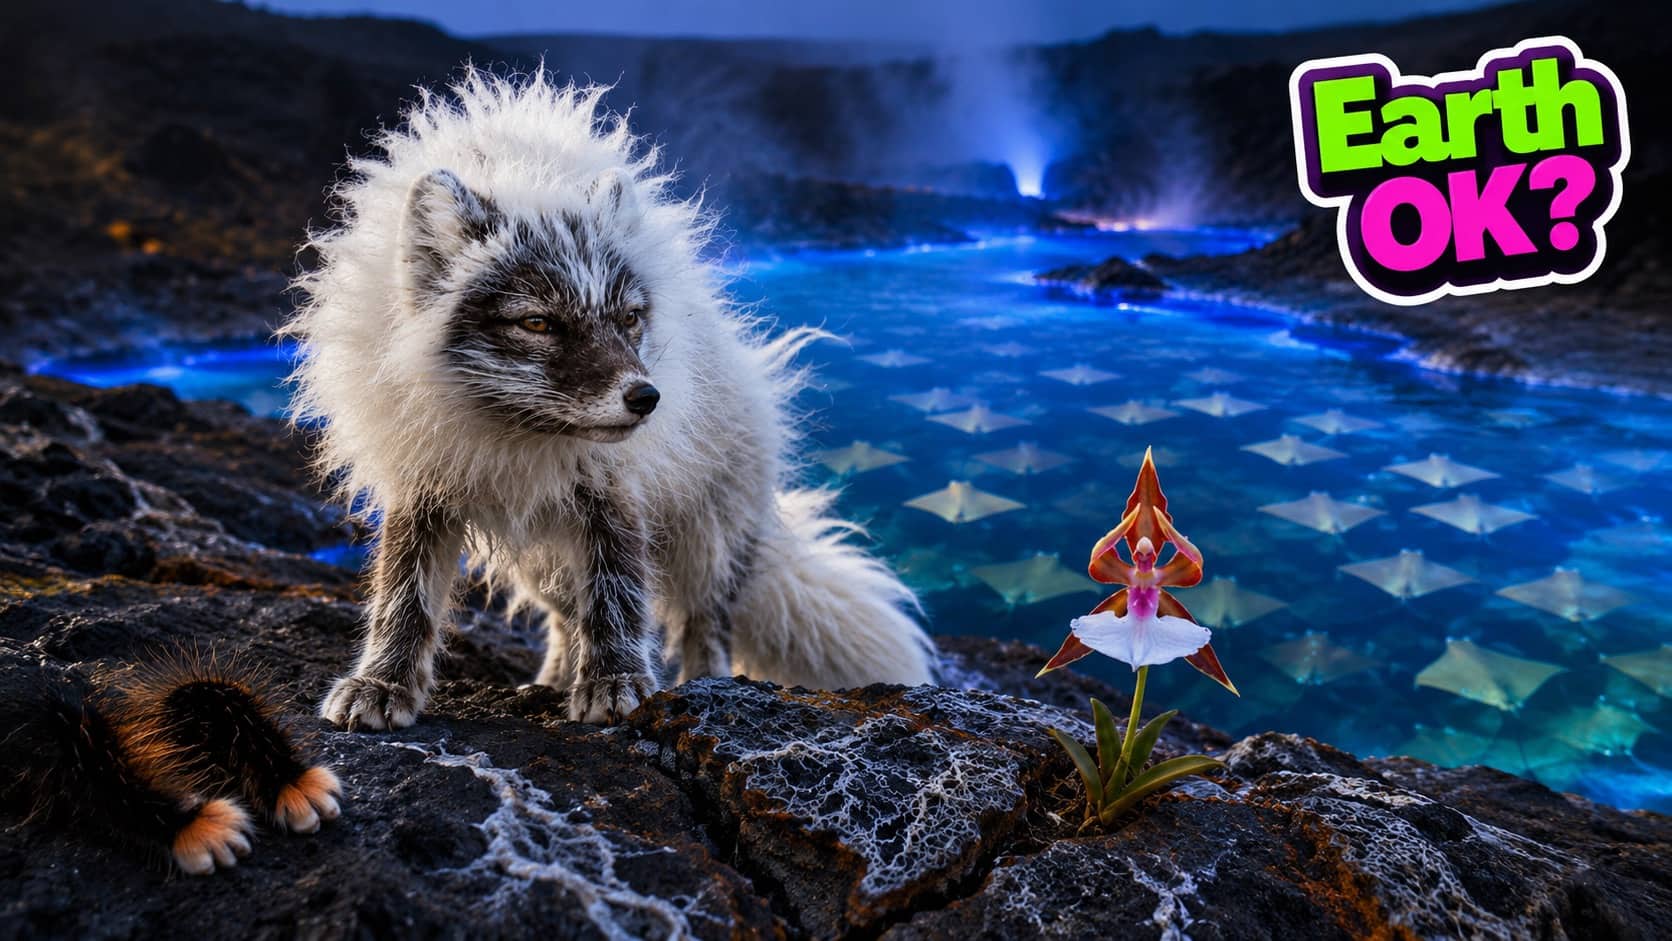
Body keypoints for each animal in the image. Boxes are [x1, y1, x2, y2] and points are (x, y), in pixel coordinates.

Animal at [283, 69, 935, 728]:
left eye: (628, 318)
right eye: (538, 323)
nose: (647, 398)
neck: (515, 438)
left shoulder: (612, 488)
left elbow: (617, 591)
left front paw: (616, 682)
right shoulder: (423, 480)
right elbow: (403, 596)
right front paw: (381, 684)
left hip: (710, 543)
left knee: (705, 624)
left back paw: (706, 684)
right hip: (544, 562)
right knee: (565, 618)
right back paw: (549, 681)